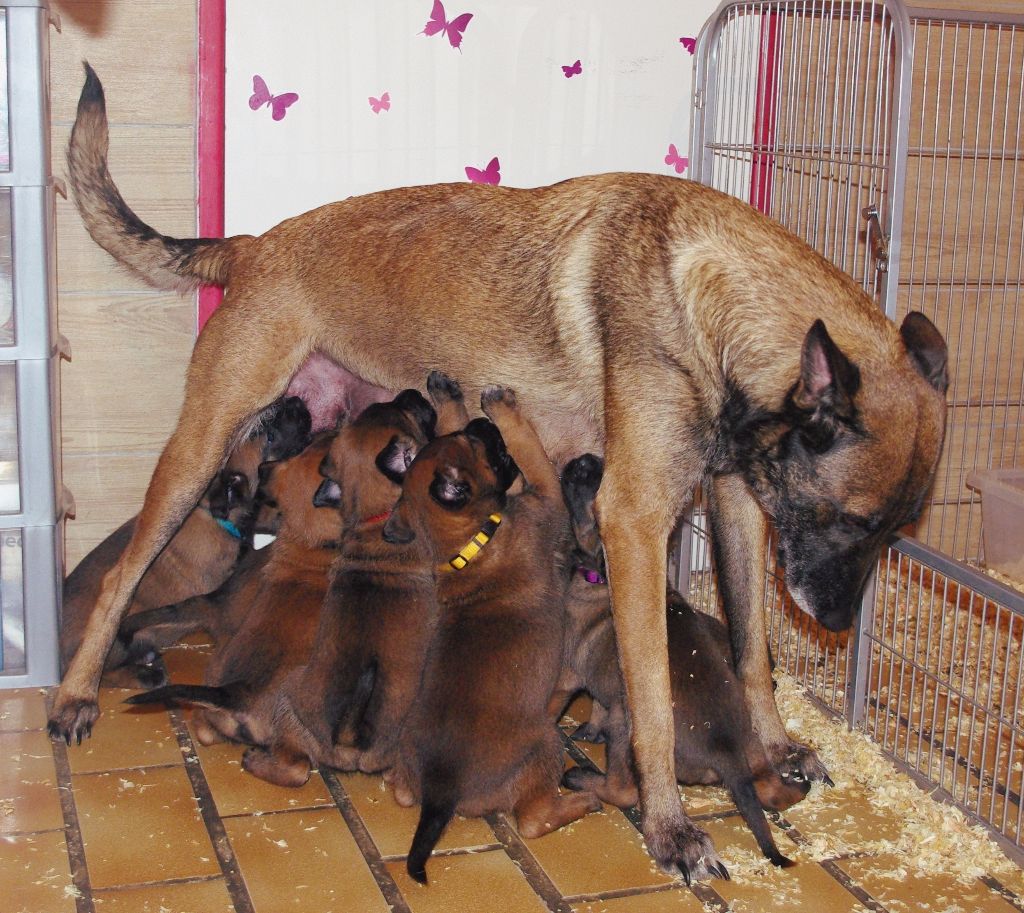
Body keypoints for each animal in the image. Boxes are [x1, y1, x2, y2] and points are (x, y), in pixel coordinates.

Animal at [61, 396, 311, 689]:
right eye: (268, 436)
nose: (295, 399)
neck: (212, 513)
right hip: (114, 641)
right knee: (94, 671)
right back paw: (144, 674)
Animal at [382, 386, 601, 883]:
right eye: (482, 447)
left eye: (464, 439)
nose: (480, 425)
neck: (468, 544)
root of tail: (442, 789)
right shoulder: (547, 498)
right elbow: (533, 452)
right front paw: (505, 410)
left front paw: (449, 398)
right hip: (546, 744)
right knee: (533, 821)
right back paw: (584, 800)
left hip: (405, 757)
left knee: (402, 794)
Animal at [555, 454, 808, 870]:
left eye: (594, 489)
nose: (584, 459)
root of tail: (726, 748)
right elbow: (596, 705)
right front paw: (588, 729)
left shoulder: (570, 673)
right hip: (753, 743)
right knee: (773, 790)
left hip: (626, 727)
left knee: (622, 790)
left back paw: (582, 778)